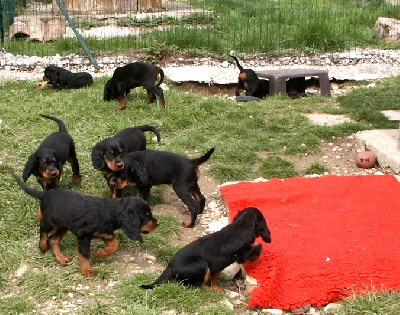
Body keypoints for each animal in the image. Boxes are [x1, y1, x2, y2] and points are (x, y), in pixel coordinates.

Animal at [11, 174, 158, 278]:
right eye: (146, 216)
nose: (157, 223)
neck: (111, 211)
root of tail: (45, 193)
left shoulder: (106, 233)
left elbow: (115, 244)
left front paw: (100, 252)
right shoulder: (83, 235)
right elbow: (84, 254)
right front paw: (87, 270)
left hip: (64, 226)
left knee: (53, 240)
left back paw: (61, 258)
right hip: (51, 222)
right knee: (43, 230)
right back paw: (42, 246)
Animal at [141, 209, 272, 292]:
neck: (241, 226)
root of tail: (170, 267)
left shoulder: (216, 267)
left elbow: (215, 277)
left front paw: (216, 287)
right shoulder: (241, 255)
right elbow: (258, 245)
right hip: (201, 264)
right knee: (197, 286)